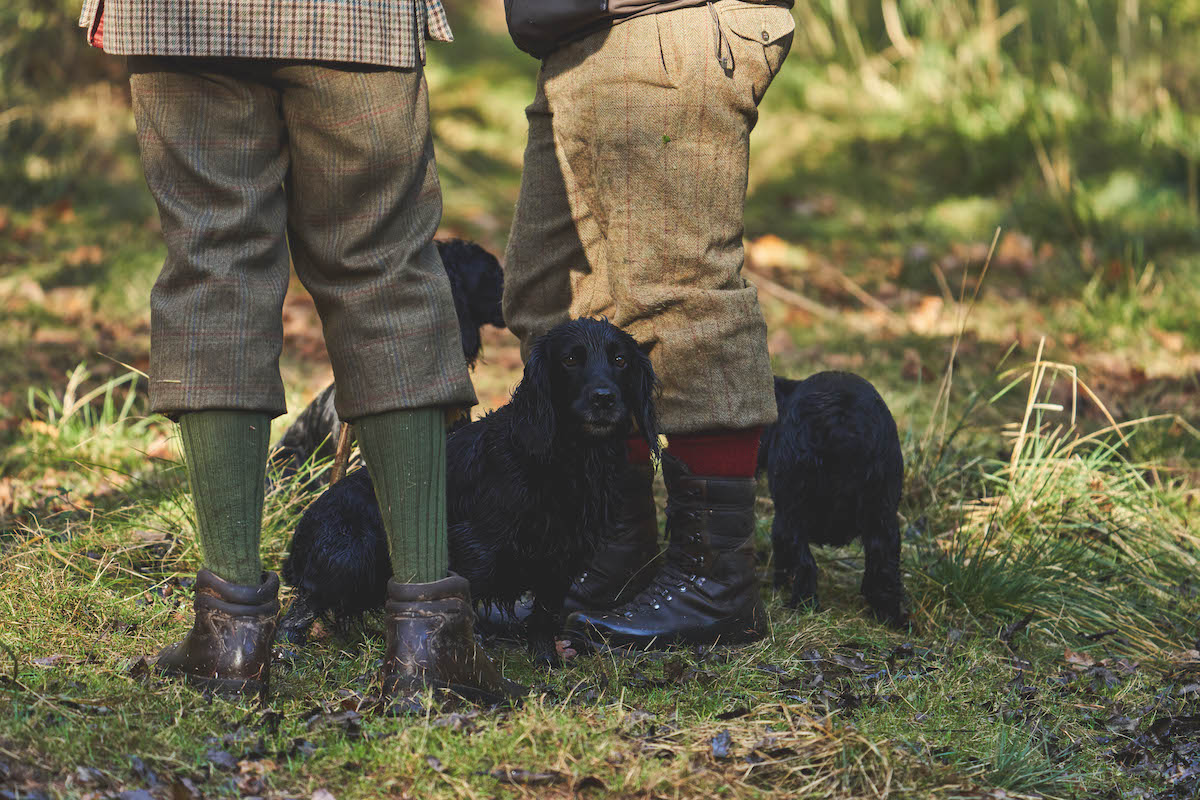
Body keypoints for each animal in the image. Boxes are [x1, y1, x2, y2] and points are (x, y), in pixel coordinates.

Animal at [277, 319, 662, 662]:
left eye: (620, 359)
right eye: (570, 359)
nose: (604, 399)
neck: (567, 458)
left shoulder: (563, 557)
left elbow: (545, 614)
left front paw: (546, 661)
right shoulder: (475, 548)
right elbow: (463, 605)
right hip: (352, 554)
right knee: (302, 604)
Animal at [763, 371, 902, 628]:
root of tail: (839, 422)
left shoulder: (781, 516)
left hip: (792, 511)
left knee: (805, 563)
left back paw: (801, 605)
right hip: (882, 511)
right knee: (884, 565)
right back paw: (891, 618)